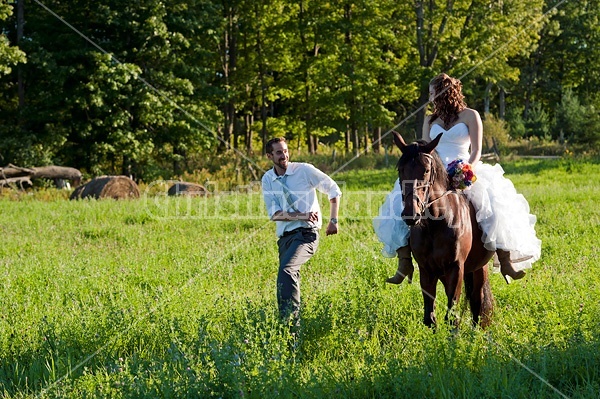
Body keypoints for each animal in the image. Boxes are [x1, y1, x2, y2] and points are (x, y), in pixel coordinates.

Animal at [394, 133, 492, 330]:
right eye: (400, 170)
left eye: (426, 170)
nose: (411, 214)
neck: (435, 224)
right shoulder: (426, 270)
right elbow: (430, 318)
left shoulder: (455, 268)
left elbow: (452, 316)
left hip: (478, 268)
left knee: (477, 301)